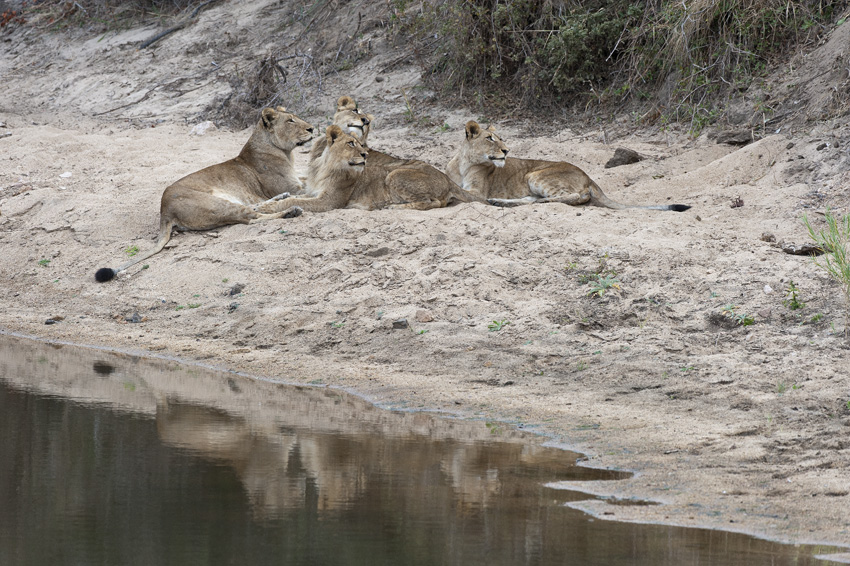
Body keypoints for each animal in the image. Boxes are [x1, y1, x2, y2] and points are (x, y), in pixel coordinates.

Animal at [94, 107, 312, 284]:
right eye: (290, 120)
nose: (312, 129)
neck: (285, 153)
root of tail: (164, 210)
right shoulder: (295, 187)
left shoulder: (297, 180)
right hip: (217, 204)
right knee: (252, 217)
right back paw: (290, 211)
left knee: (255, 208)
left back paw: (282, 199)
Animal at [444, 122, 688, 213]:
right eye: (489, 139)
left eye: (501, 139)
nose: (507, 150)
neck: (464, 163)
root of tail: (588, 176)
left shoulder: (477, 191)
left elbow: (464, 192)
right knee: (529, 200)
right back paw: (499, 202)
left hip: (535, 174)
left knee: (576, 196)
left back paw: (540, 202)